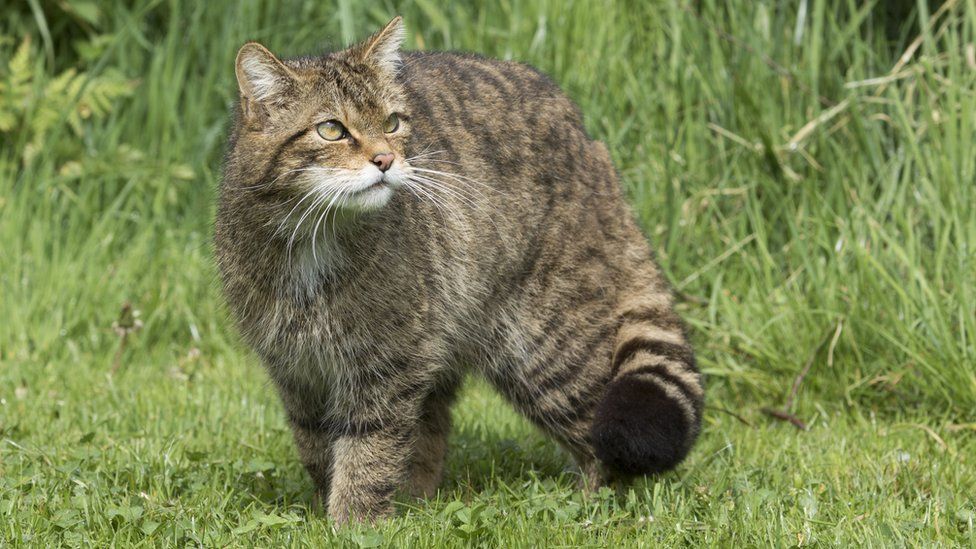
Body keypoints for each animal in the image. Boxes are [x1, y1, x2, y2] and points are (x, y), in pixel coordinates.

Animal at [215, 18, 700, 524]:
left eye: (392, 123)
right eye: (331, 129)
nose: (385, 159)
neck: (315, 236)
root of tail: (585, 134)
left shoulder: (386, 365)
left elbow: (368, 450)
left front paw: (353, 521)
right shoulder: (295, 369)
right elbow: (315, 444)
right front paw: (324, 505)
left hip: (545, 351)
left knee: (602, 440)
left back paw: (596, 508)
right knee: (431, 429)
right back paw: (418, 498)